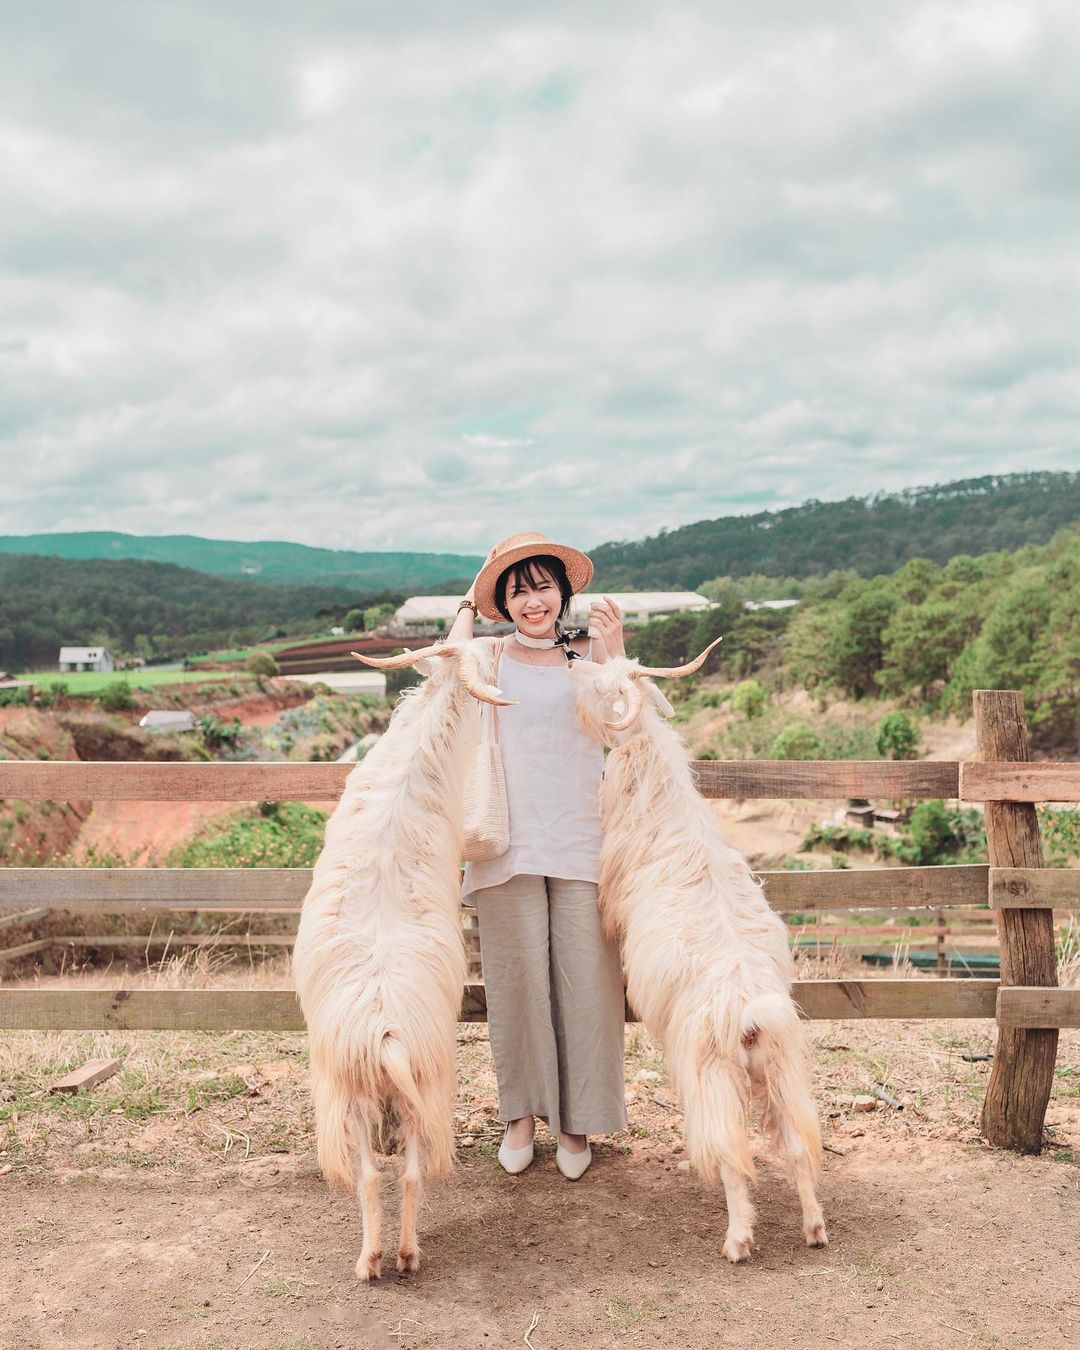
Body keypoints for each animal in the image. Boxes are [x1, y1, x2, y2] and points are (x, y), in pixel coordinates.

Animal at [292, 637, 507, 1279]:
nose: (501, 640)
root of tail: (386, 1033)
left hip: (353, 1094)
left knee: (373, 1176)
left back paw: (376, 1259)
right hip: (416, 1086)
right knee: (404, 1173)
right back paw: (402, 1255)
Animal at [572, 642, 826, 1263]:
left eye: (602, 686)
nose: (571, 666)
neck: (659, 795)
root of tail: (751, 1015)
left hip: (709, 1071)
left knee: (733, 1154)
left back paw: (737, 1239)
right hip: (782, 1068)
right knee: (798, 1142)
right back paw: (813, 1227)